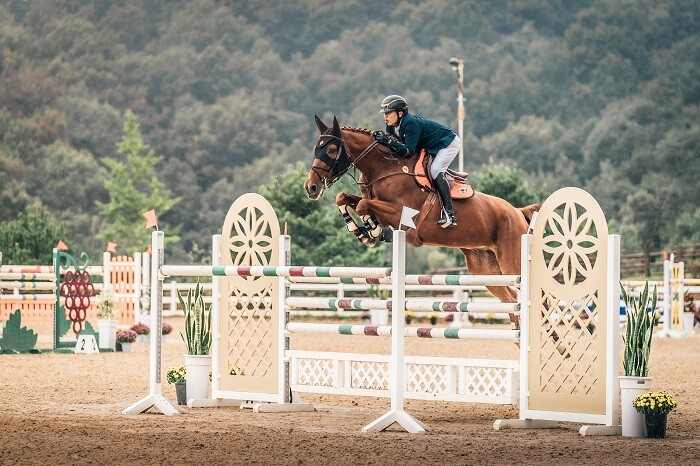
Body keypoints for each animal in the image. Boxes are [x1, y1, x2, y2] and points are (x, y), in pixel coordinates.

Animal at [302, 115, 540, 326]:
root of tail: (517, 212)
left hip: (511, 263)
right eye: (316, 149)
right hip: (484, 270)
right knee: (510, 299)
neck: (384, 170)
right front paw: (363, 231)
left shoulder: (403, 214)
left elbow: (363, 206)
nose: (311, 187)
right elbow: (344, 198)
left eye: (332, 150)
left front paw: (373, 231)